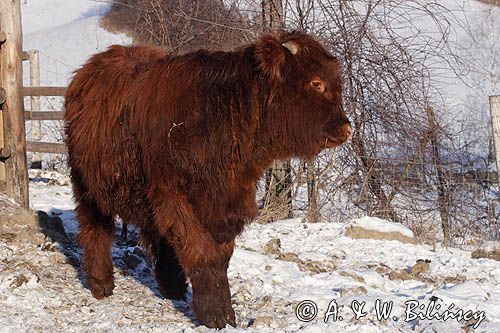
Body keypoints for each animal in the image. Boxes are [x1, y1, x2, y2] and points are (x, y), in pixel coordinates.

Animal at [63, 31, 352, 326]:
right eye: (316, 83)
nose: (346, 128)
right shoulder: (174, 197)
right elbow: (201, 251)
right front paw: (213, 314)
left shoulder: (228, 203)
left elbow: (221, 256)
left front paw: (225, 310)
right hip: (87, 184)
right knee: (95, 229)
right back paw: (100, 283)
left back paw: (172, 286)